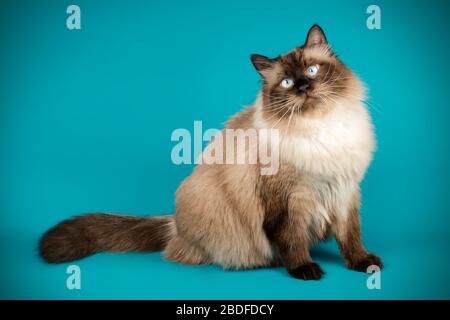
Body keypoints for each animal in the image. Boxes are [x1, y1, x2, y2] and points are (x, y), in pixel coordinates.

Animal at [39, 25, 384, 280]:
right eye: (287, 82)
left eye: (312, 70)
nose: (303, 87)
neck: (320, 128)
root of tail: (175, 225)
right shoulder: (289, 200)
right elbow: (292, 239)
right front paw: (304, 269)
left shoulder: (345, 190)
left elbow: (351, 237)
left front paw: (364, 263)